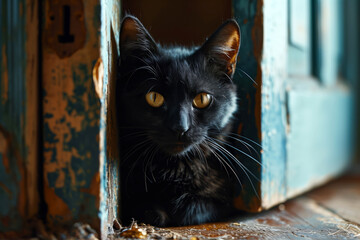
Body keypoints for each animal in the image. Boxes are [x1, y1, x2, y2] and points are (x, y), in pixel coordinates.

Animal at [118, 15, 242, 227]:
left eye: (202, 99)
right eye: (154, 97)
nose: (179, 127)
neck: (174, 170)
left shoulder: (223, 200)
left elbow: (193, 209)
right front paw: (156, 211)